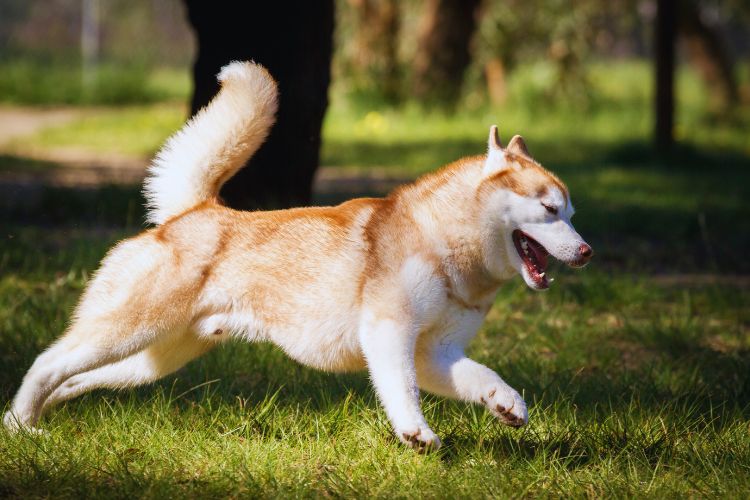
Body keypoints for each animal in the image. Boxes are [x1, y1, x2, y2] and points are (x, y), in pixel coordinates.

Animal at [4, 60, 592, 452]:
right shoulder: (389, 334)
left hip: (152, 358)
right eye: (549, 209)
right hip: (128, 328)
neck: (443, 244)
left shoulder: (436, 352)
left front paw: (505, 403)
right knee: (45, 360)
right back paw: (20, 423)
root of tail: (191, 212)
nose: (586, 251)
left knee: (73, 377)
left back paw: (37, 416)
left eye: (572, 212)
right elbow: (401, 391)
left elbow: (480, 374)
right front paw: (415, 432)